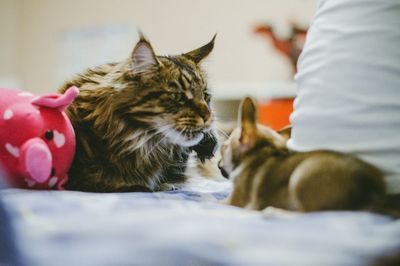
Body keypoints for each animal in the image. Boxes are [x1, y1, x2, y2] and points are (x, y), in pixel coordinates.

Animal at [219, 96, 400, 215]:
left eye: (223, 148)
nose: (218, 162)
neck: (264, 151)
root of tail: (372, 194)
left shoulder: (233, 201)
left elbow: (217, 202)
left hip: (301, 176)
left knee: (310, 213)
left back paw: (274, 212)